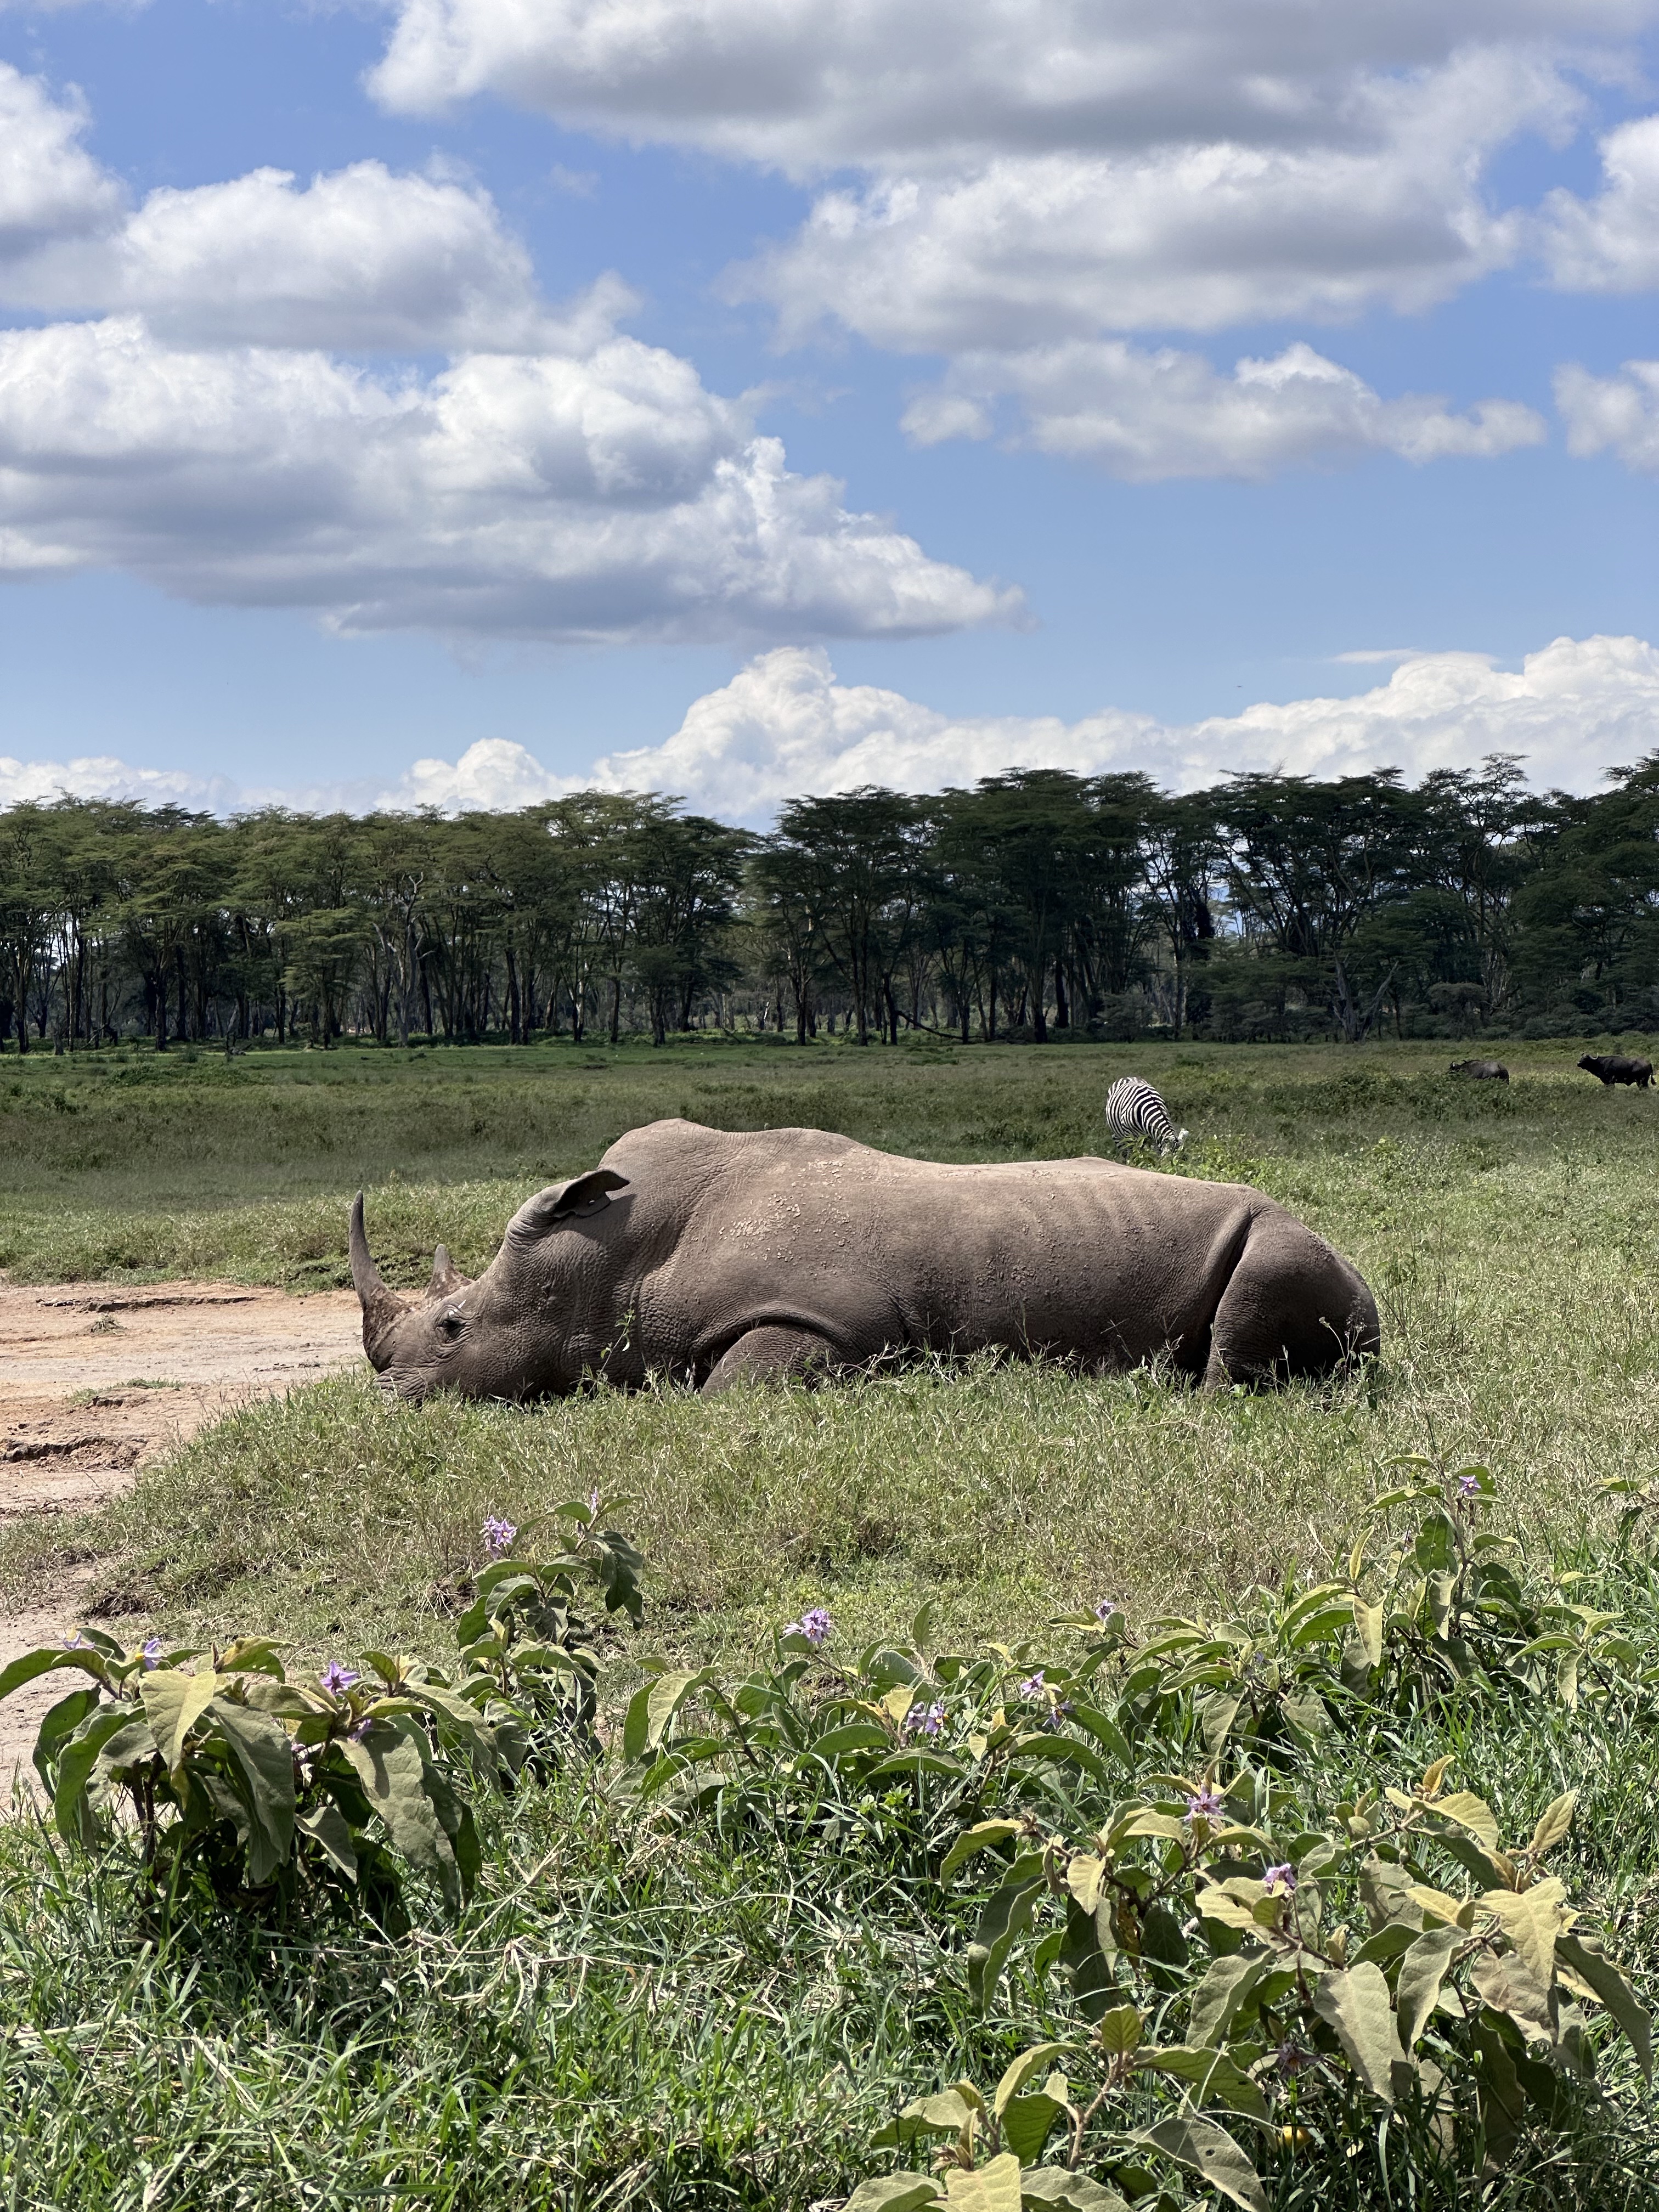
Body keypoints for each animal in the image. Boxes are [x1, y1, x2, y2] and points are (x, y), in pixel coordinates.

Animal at [347, 1115, 1380, 1407]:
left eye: (454, 1327)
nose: (390, 1397)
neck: (614, 1261)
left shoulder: (829, 1321)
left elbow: (722, 1393)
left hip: (1285, 1236)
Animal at [1110, 1075, 1186, 1159]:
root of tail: (1127, 1077)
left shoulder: (1154, 1136)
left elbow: (1154, 1155)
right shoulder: (1129, 1135)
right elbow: (1133, 1154)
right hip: (1119, 1135)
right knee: (1124, 1149)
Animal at [1583, 1053, 1654, 1088]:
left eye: (1585, 1059)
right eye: (1581, 1058)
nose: (1580, 1063)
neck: (1600, 1063)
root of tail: (1649, 1063)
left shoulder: (1610, 1082)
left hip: (1643, 1082)